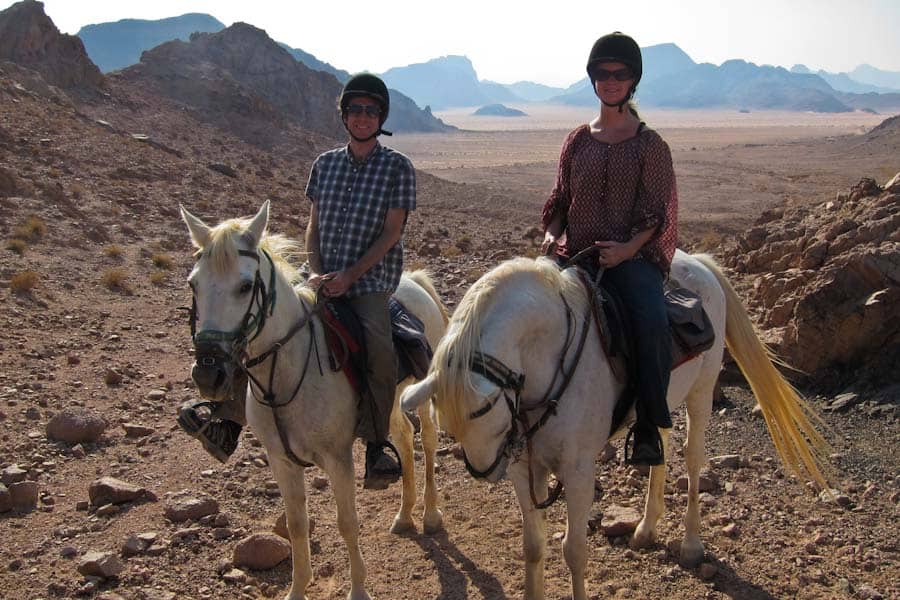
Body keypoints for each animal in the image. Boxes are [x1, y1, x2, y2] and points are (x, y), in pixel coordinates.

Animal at [181, 203, 448, 600]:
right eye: (193, 283)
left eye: (245, 286)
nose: (208, 374)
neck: (286, 374)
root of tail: (416, 281)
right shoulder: (281, 461)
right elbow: (296, 525)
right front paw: (297, 589)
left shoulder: (338, 459)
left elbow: (347, 523)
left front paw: (358, 590)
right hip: (391, 399)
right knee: (402, 436)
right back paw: (404, 515)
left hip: (421, 392)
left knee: (427, 439)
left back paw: (430, 515)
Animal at [400, 250, 828, 600]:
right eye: (447, 422)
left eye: (485, 409)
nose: (486, 471)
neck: (547, 356)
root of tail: (701, 263)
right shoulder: (524, 467)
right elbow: (533, 546)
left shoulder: (577, 471)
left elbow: (574, 550)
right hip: (660, 399)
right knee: (661, 447)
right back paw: (646, 528)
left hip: (702, 392)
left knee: (692, 460)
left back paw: (690, 543)